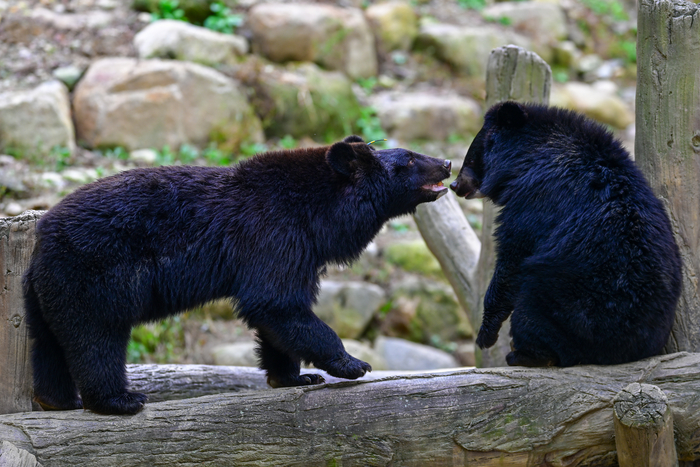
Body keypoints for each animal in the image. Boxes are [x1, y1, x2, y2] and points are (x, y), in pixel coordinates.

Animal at [24, 136, 452, 416]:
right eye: (409, 160)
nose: (448, 163)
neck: (320, 212)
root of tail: (42, 235)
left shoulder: (302, 249)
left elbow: (278, 312)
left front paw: (294, 378)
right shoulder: (274, 230)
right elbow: (275, 301)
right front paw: (351, 363)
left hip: (47, 289)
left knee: (47, 342)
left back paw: (57, 399)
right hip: (96, 274)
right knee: (97, 337)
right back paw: (119, 400)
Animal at [452, 102, 680, 370]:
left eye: (471, 157)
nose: (455, 185)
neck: (529, 155)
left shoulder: (535, 199)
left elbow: (514, 256)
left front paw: (485, 334)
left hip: (567, 299)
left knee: (531, 312)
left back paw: (525, 354)